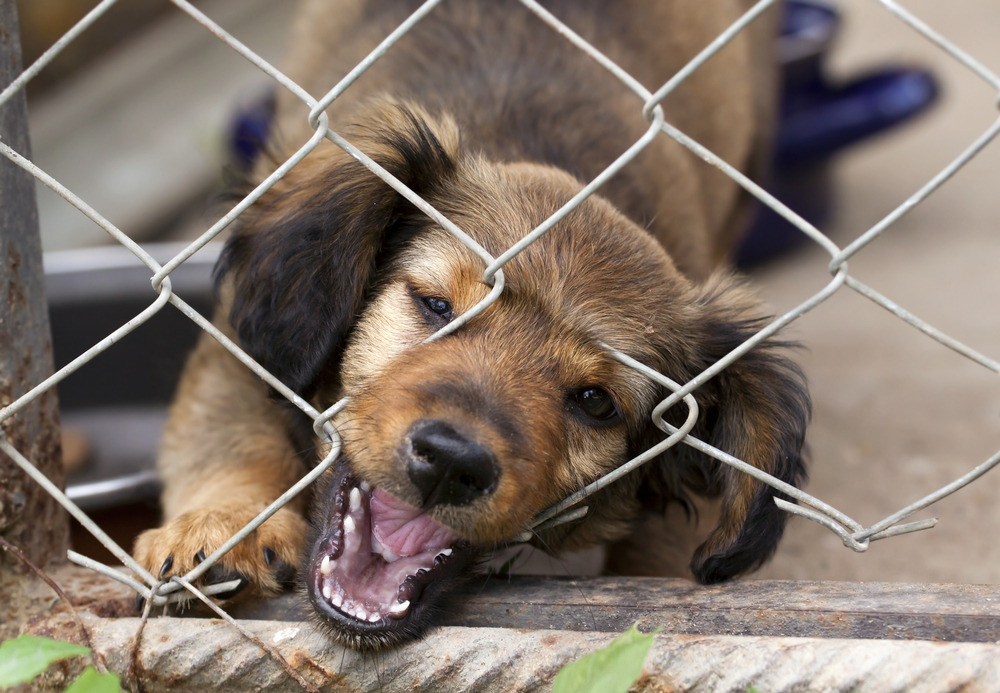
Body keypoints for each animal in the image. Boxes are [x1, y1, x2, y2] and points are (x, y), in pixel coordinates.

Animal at [135, 0, 804, 648]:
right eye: (435, 305)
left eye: (596, 401)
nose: (451, 464)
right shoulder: (238, 343)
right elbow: (231, 435)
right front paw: (222, 528)